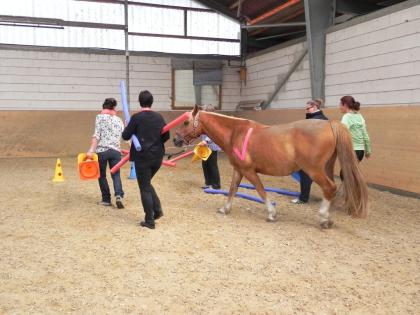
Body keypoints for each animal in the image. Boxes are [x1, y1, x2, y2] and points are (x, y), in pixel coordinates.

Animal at [174, 105, 368, 228]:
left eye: (186, 122)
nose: (176, 140)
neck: (236, 133)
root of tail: (330, 124)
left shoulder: (249, 171)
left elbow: (261, 190)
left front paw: (271, 214)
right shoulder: (239, 170)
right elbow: (232, 189)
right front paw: (225, 209)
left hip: (314, 170)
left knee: (330, 187)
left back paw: (323, 218)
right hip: (326, 167)